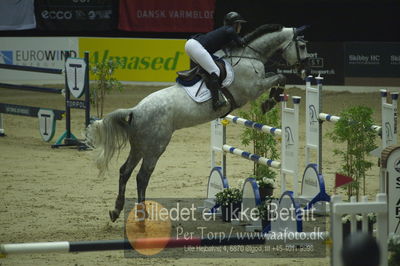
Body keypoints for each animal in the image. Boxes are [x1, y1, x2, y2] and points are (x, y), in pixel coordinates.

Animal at [86, 24, 310, 222]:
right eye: (302, 46)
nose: (305, 69)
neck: (250, 56)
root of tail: (135, 111)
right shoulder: (253, 88)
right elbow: (279, 77)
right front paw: (269, 102)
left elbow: (277, 76)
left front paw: (272, 99)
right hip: (155, 146)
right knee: (142, 176)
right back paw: (143, 216)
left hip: (140, 146)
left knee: (125, 171)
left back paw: (116, 211)